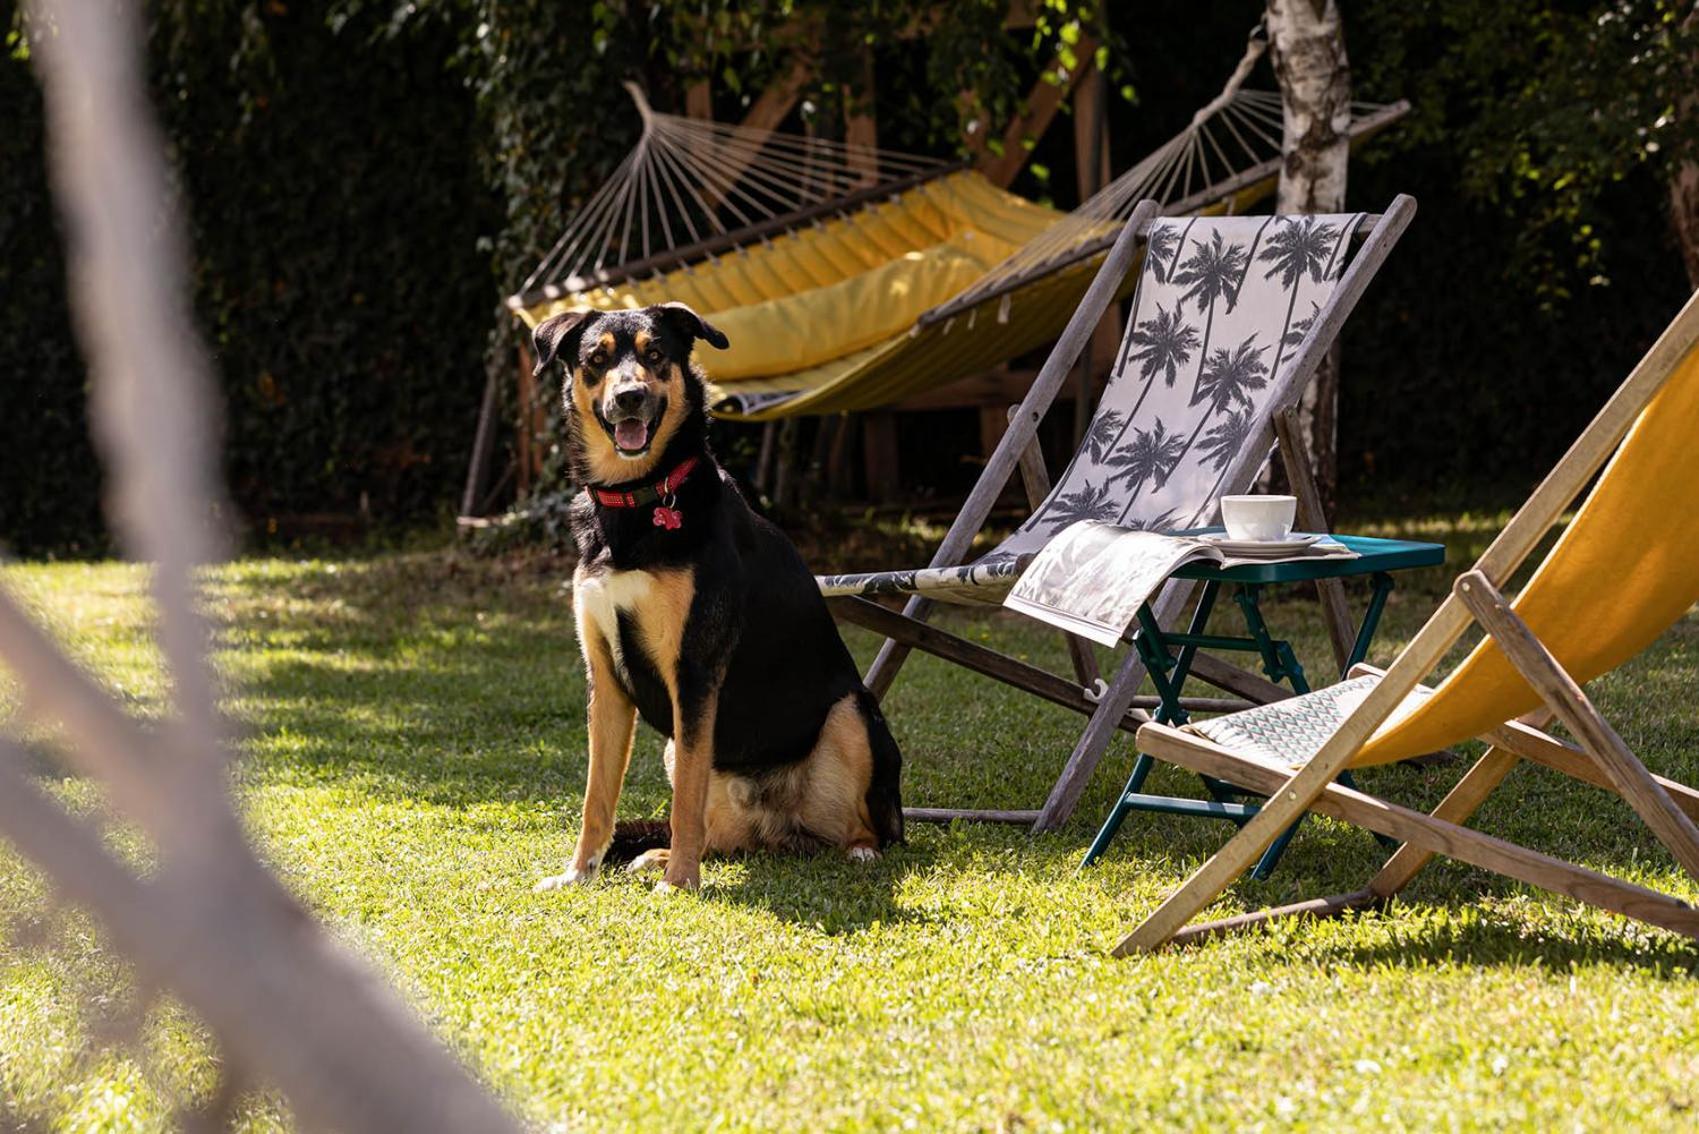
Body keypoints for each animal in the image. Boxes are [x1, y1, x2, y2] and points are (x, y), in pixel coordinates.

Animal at [530, 304, 903, 897]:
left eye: (655, 353)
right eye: (597, 359)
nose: (630, 396)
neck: (637, 501)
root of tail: (782, 829)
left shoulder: (694, 671)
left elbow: (685, 797)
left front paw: (680, 883)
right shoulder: (605, 680)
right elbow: (596, 798)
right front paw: (578, 873)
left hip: (851, 713)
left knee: (865, 826)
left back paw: (859, 851)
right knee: (720, 836)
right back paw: (657, 855)